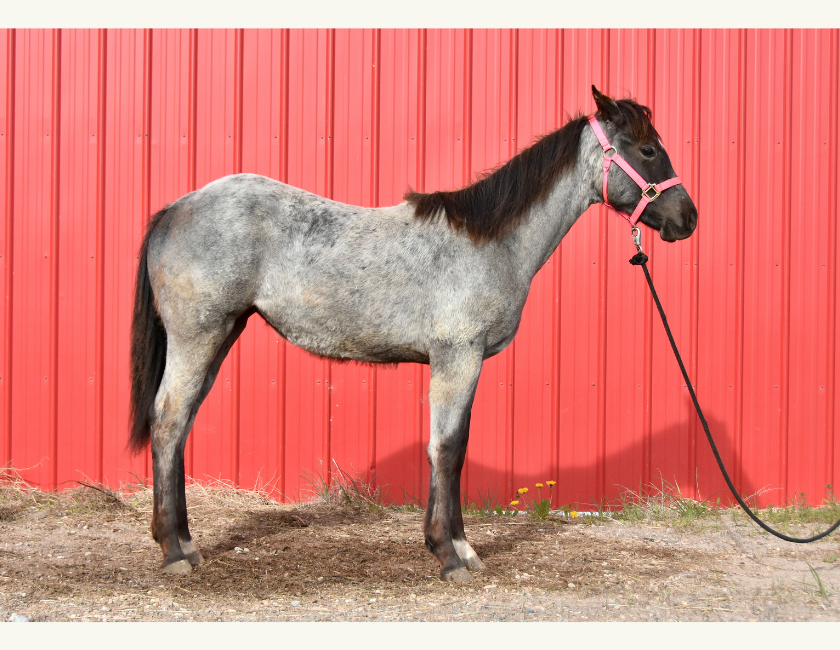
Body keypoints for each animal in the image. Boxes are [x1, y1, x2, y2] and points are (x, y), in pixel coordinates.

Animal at [129, 86, 697, 581]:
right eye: (647, 149)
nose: (687, 217)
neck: (489, 243)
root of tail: (175, 209)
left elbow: (450, 449)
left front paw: (451, 546)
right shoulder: (457, 357)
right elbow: (448, 449)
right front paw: (452, 554)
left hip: (220, 336)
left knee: (179, 425)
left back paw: (185, 544)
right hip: (198, 337)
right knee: (169, 420)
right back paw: (175, 550)